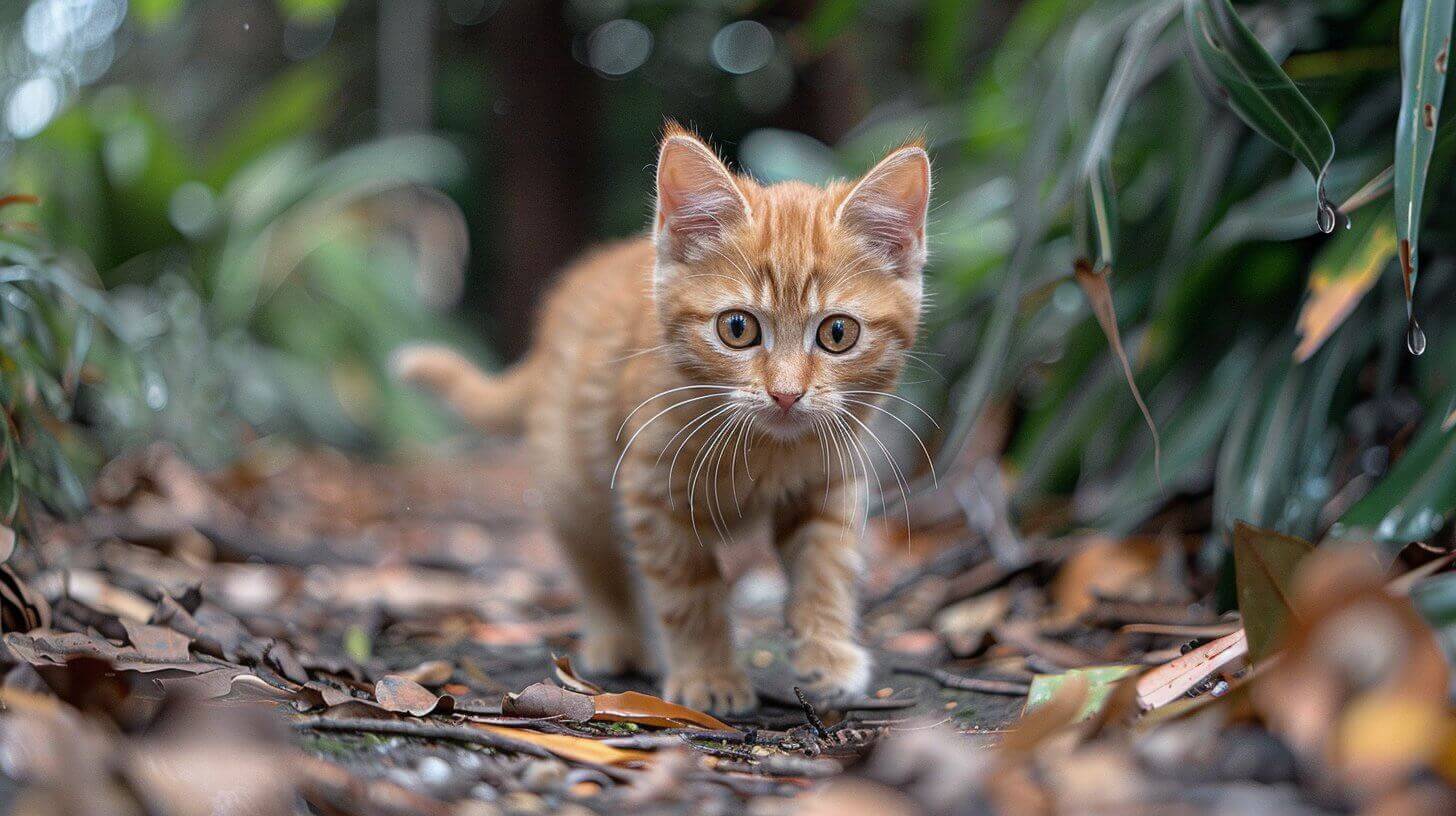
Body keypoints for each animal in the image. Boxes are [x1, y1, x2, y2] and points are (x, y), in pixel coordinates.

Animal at [393, 124, 926, 711]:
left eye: (837, 333)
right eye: (737, 328)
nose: (786, 395)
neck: (766, 450)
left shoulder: (830, 481)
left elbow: (826, 568)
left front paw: (827, 654)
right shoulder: (653, 489)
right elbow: (688, 593)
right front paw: (709, 676)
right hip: (572, 478)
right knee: (594, 560)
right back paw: (618, 641)